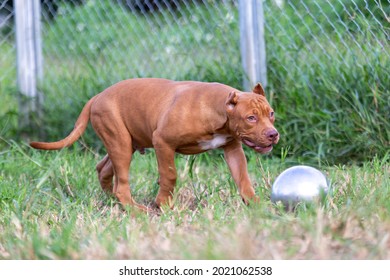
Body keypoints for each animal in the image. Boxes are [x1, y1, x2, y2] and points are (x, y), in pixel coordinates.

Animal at [31, 77, 280, 211]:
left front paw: (256, 204)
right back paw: (135, 210)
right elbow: (169, 174)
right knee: (121, 182)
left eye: (271, 114)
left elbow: (243, 178)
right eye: (251, 118)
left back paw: (114, 201)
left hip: (124, 143)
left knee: (103, 169)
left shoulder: (233, 149)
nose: (273, 134)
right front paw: (164, 204)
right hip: (120, 143)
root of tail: (97, 96)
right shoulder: (163, 142)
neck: (217, 110)